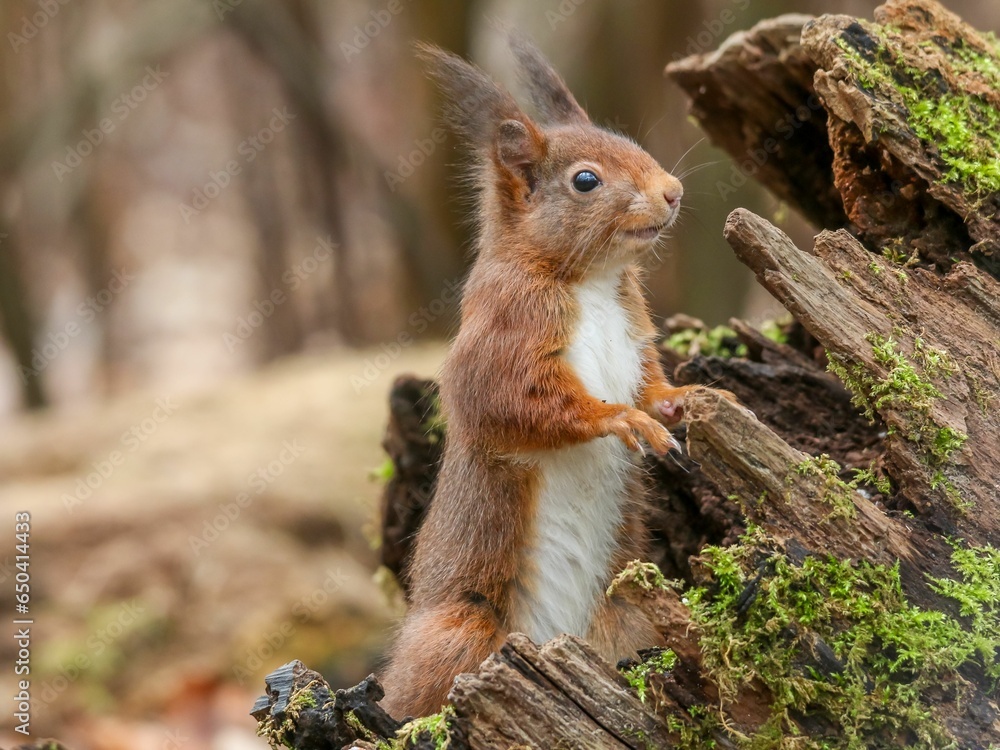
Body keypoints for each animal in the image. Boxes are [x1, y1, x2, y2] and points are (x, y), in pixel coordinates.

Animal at [382, 35, 720, 724]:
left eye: (626, 138)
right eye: (585, 181)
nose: (672, 191)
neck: (588, 281)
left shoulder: (636, 337)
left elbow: (651, 386)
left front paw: (687, 397)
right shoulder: (503, 337)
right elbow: (520, 403)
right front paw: (621, 419)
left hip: (625, 620)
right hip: (463, 636)